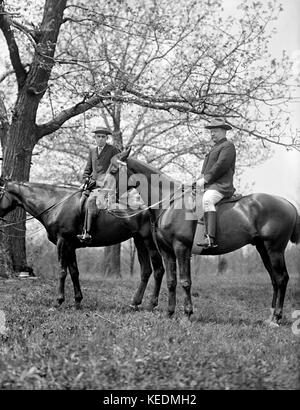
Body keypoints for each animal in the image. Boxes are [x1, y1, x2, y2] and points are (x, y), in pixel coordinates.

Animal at [0, 179, 164, 308]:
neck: (56, 204)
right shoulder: (70, 246)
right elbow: (74, 272)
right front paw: (77, 301)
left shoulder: (62, 243)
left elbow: (62, 271)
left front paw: (59, 300)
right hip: (139, 241)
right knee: (146, 271)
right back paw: (135, 303)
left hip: (149, 242)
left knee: (158, 270)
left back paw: (152, 304)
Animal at [103, 149, 300, 326]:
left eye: (113, 170)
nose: (102, 196)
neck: (170, 203)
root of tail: (288, 204)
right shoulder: (167, 251)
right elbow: (171, 281)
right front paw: (169, 313)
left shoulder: (181, 248)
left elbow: (185, 281)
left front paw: (187, 314)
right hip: (263, 249)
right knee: (274, 279)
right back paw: (271, 316)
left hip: (275, 250)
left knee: (282, 278)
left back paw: (277, 317)